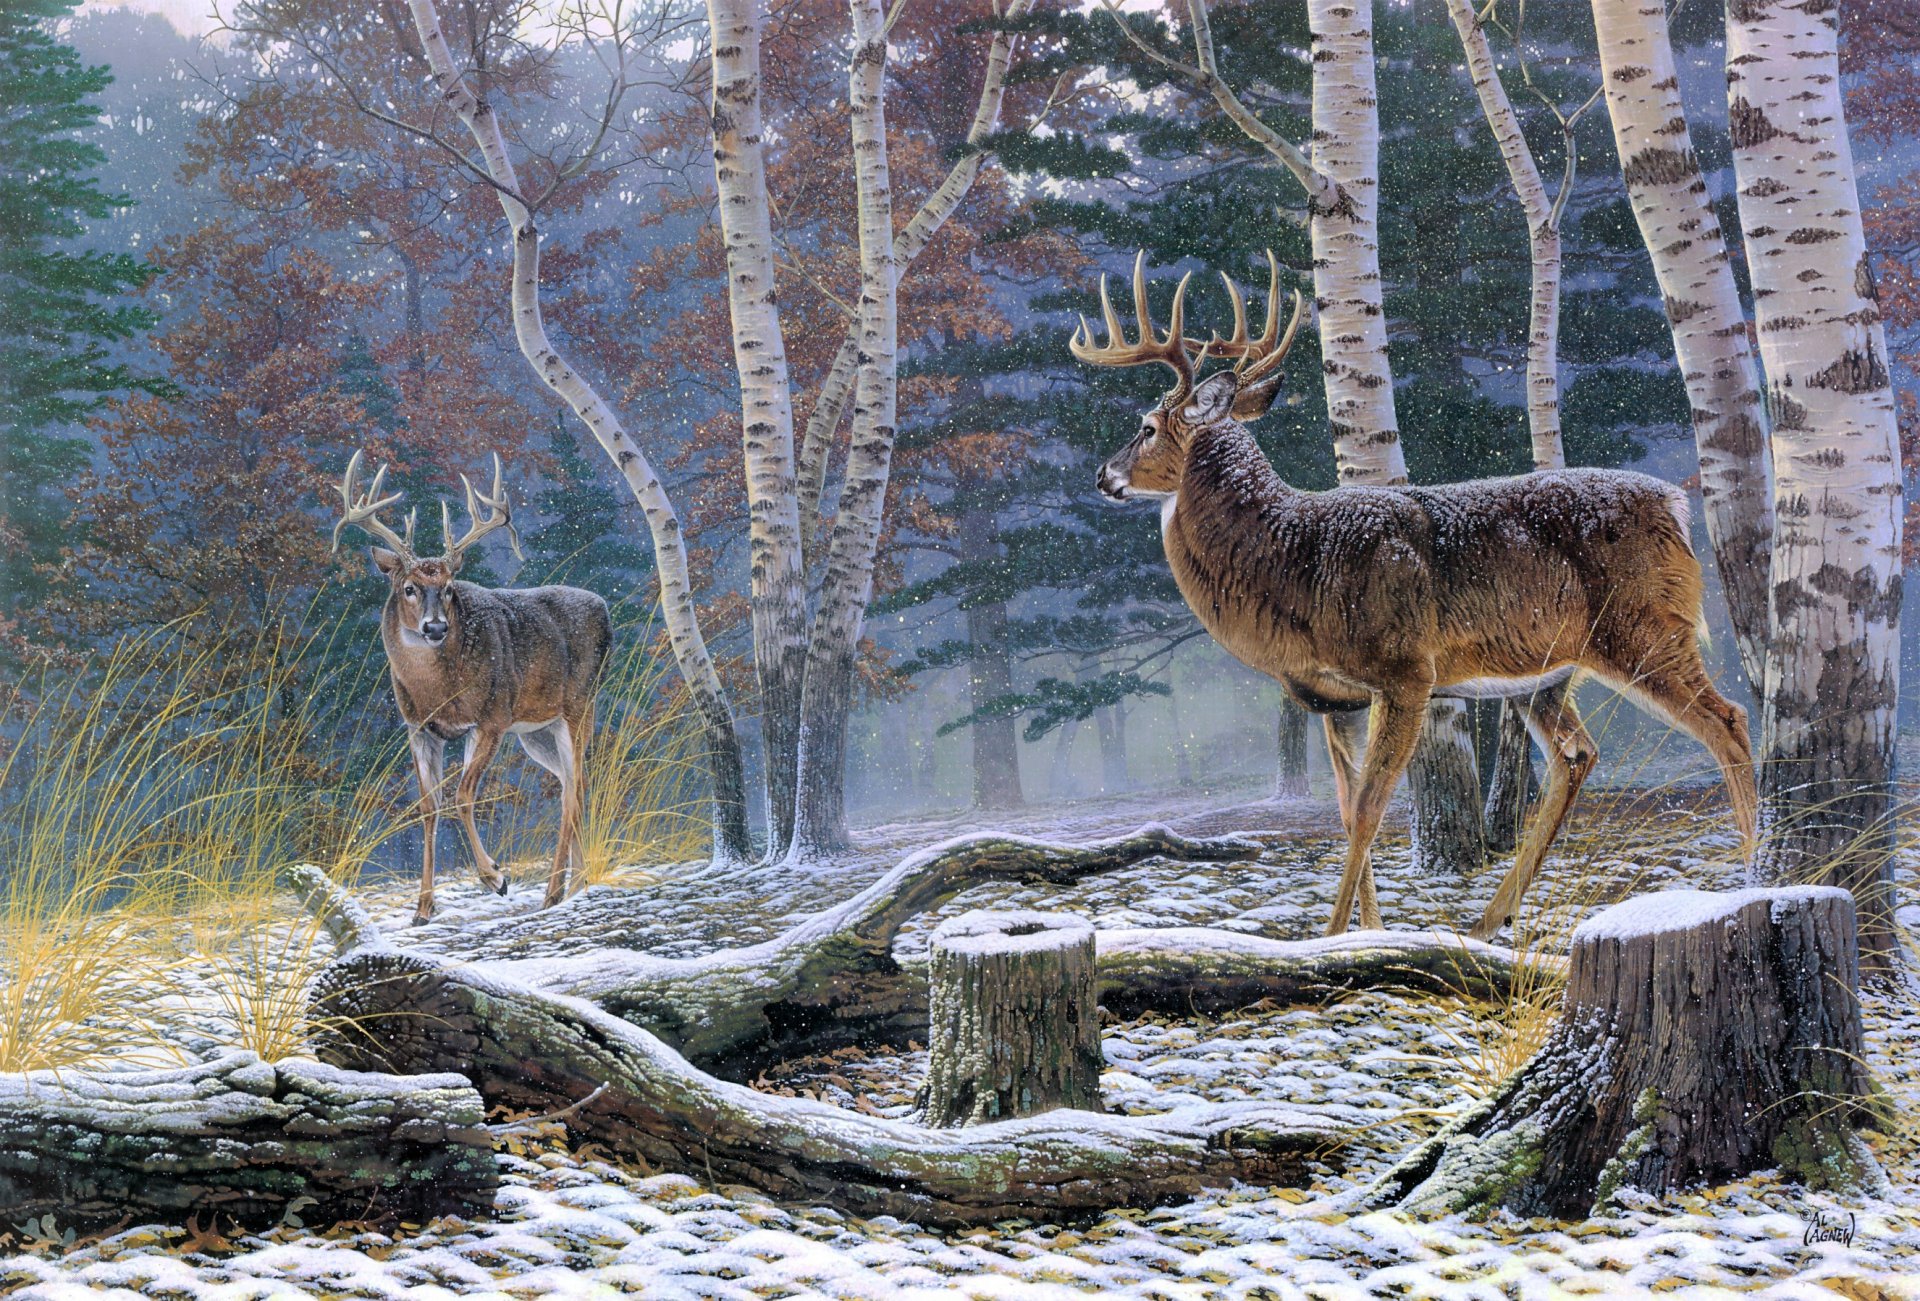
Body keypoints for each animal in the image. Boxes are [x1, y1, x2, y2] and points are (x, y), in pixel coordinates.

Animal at [332, 451, 612, 924]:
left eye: (447, 589)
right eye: (409, 588)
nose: (435, 627)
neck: (438, 691)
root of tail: (604, 607)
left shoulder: (491, 719)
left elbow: (463, 795)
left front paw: (495, 877)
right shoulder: (419, 728)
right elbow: (429, 807)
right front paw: (423, 908)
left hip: (579, 704)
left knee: (572, 791)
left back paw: (553, 891)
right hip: (538, 731)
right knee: (575, 783)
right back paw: (575, 886)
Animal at [1070, 253, 1758, 940]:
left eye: (1147, 427)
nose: (1102, 475)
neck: (1294, 560)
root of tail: (1676, 507)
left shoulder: (1405, 669)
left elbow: (1372, 807)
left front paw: (1332, 937)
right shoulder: (1335, 696)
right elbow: (1347, 809)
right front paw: (1367, 932)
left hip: (1646, 628)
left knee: (1728, 721)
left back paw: (1754, 871)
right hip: (1548, 673)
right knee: (1578, 755)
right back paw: (1488, 922)